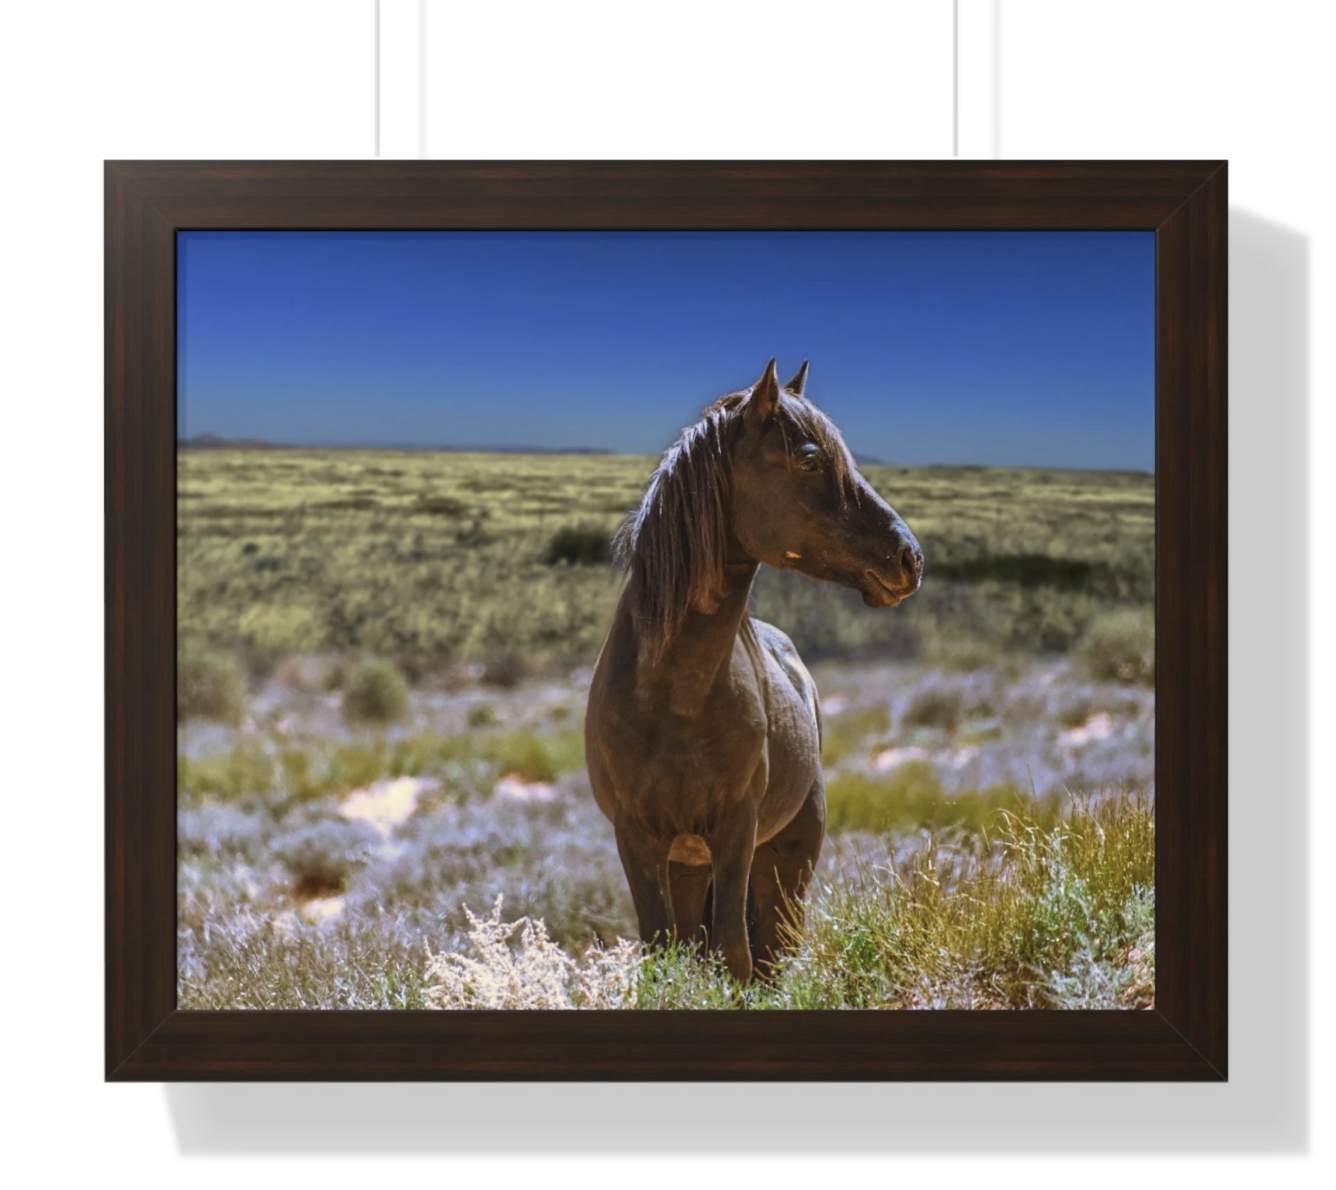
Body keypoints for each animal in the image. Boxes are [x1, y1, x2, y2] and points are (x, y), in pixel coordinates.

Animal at [585, 357, 919, 982]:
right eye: (810, 460)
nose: (910, 558)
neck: (675, 695)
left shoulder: (737, 830)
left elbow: (735, 955)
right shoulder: (637, 837)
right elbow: (664, 951)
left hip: (787, 856)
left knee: (772, 949)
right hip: (689, 863)